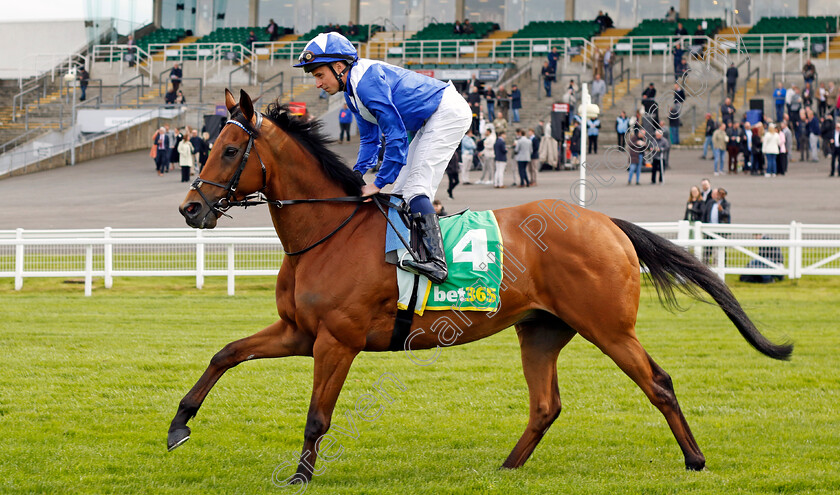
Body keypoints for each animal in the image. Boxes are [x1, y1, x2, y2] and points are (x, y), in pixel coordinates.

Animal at [172, 90, 796, 484]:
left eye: (230, 150)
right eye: (208, 146)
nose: (190, 209)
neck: (329, 231)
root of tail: (606, 222)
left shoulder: (336, 341)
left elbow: (317, 416)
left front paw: (300, 477)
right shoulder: (298, 331)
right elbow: (225, 353)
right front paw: (180, 424)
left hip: (609, 328)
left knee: (658, 383)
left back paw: (695, 459)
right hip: (542, 330)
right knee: (546, 405)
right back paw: (507, 468)